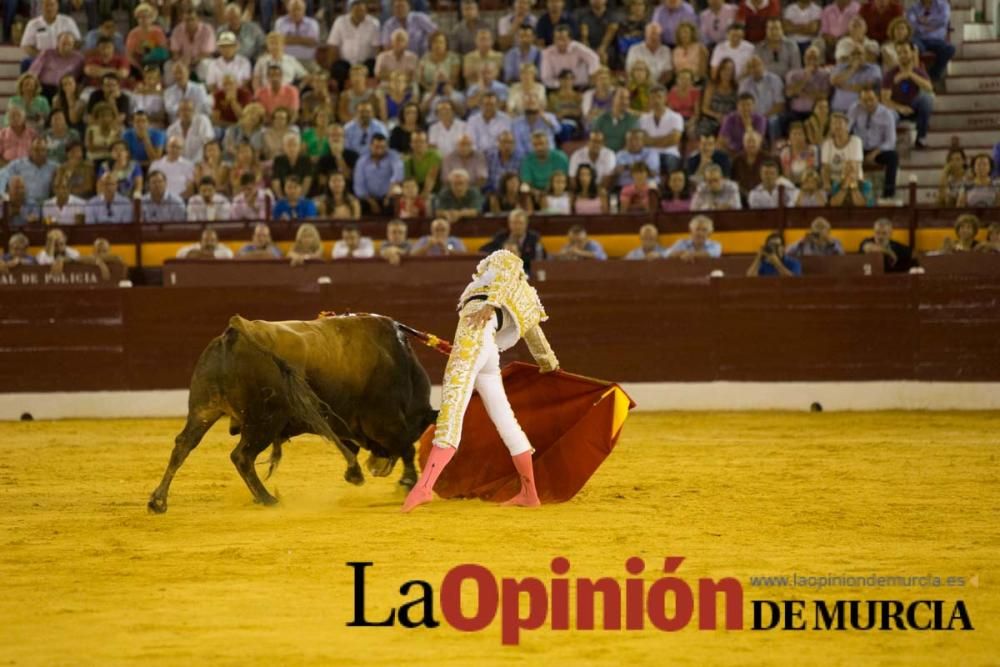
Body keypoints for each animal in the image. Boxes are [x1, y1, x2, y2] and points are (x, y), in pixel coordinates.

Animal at [146, 316, 436, 516]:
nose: (376, 467)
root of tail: (236, 332)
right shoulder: (385, 421)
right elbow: (406, 447)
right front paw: (407, 483)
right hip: (264, 422)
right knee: (241, 456)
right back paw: (268, 499)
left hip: (205, 408)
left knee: (183, 446)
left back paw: (157, 501)